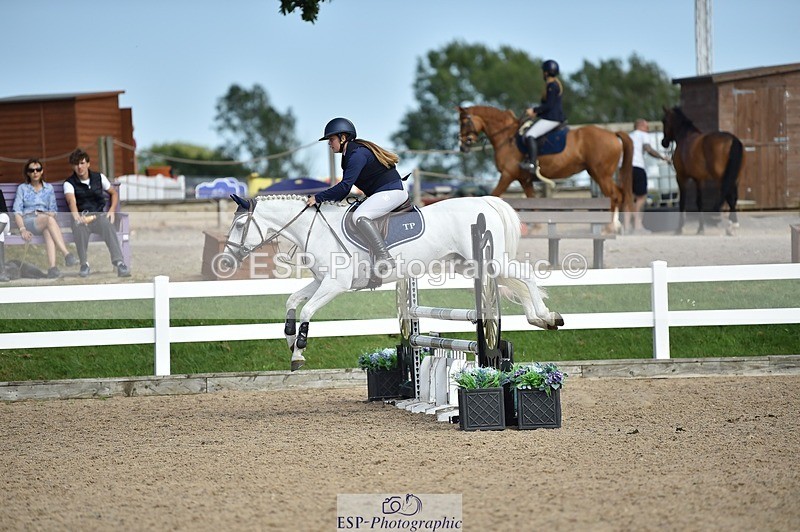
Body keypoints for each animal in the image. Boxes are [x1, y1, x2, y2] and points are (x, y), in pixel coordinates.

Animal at [223, 194, 564, 371]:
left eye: (239, 225)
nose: (226, 262)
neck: (315, 229)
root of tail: (484, 201)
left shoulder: (335, 284)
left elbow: (307, 311)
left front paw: (298, 353)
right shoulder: (322, 280)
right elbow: (292, 301)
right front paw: (290, 339)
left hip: (488, 260)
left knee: (526, 275)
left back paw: (545, 317)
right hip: (470, 264)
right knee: (516, 281)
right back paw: (541, 317)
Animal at [458, 105, 634, 232]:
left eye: (465, 122)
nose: (462, 146)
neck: (506, 138)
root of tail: (612, 134)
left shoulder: (507, 175)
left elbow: (494, 195)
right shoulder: (524, 180)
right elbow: (532, 201)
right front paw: (536, 227)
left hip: (601, 174)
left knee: (614, 195)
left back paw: (610, 227)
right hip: (598, 173)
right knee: (618, 194)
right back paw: (616, 226)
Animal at [661, 106, 744, 235]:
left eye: (664, 121)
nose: (663, 142)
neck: (685, 137)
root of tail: (732, 140)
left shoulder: (681, 177)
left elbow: (683, 202)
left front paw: (680, 228)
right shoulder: (699, 179)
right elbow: (699, 202)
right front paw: (701, 228)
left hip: (722, 179)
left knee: (729, 197)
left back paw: (732, 226)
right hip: (735, 178)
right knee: (733, 198)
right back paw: (731, 226)